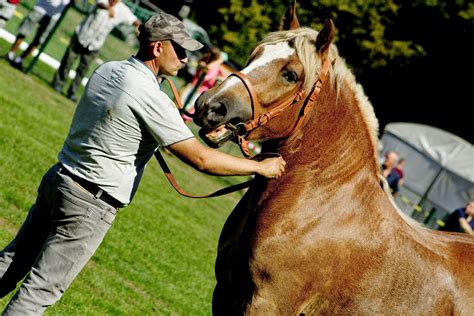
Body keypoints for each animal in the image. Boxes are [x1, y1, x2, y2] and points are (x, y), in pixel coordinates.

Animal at [192, 1, 474, 314]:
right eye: (255, 54)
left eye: (290, 75)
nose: (210, 106)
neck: (320, 204)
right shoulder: (224, 293)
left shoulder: (267, 304)